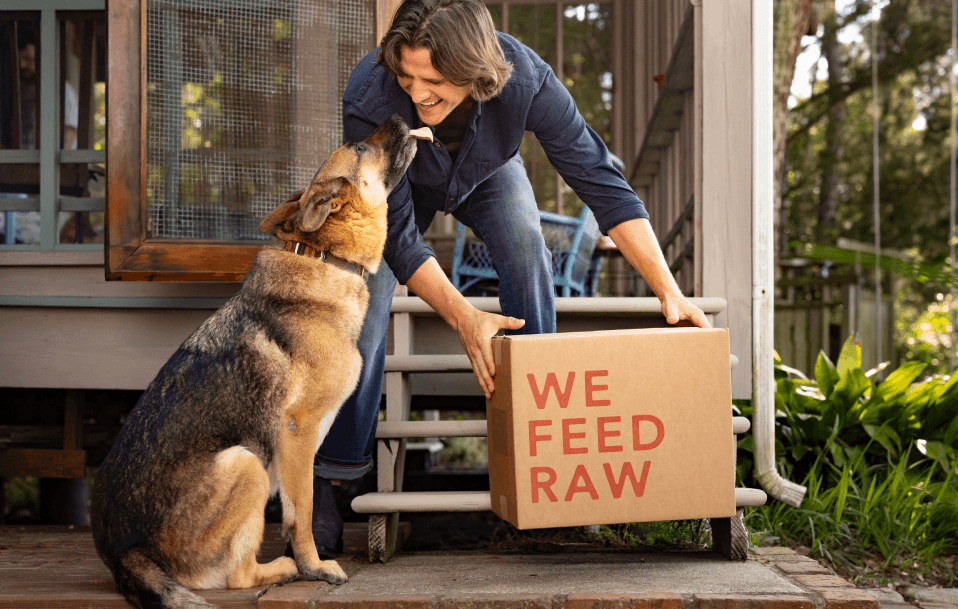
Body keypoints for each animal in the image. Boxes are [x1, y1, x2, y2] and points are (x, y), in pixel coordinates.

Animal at [92, 115, 430, 608]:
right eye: (359, 146)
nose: (401, 116)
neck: (326, 258)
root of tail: (124, 554)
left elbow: (297, 507)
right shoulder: (299, 431)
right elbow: (303, 508)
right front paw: (314, 566)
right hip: (246, 462)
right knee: (234, 576)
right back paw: (284, 568)